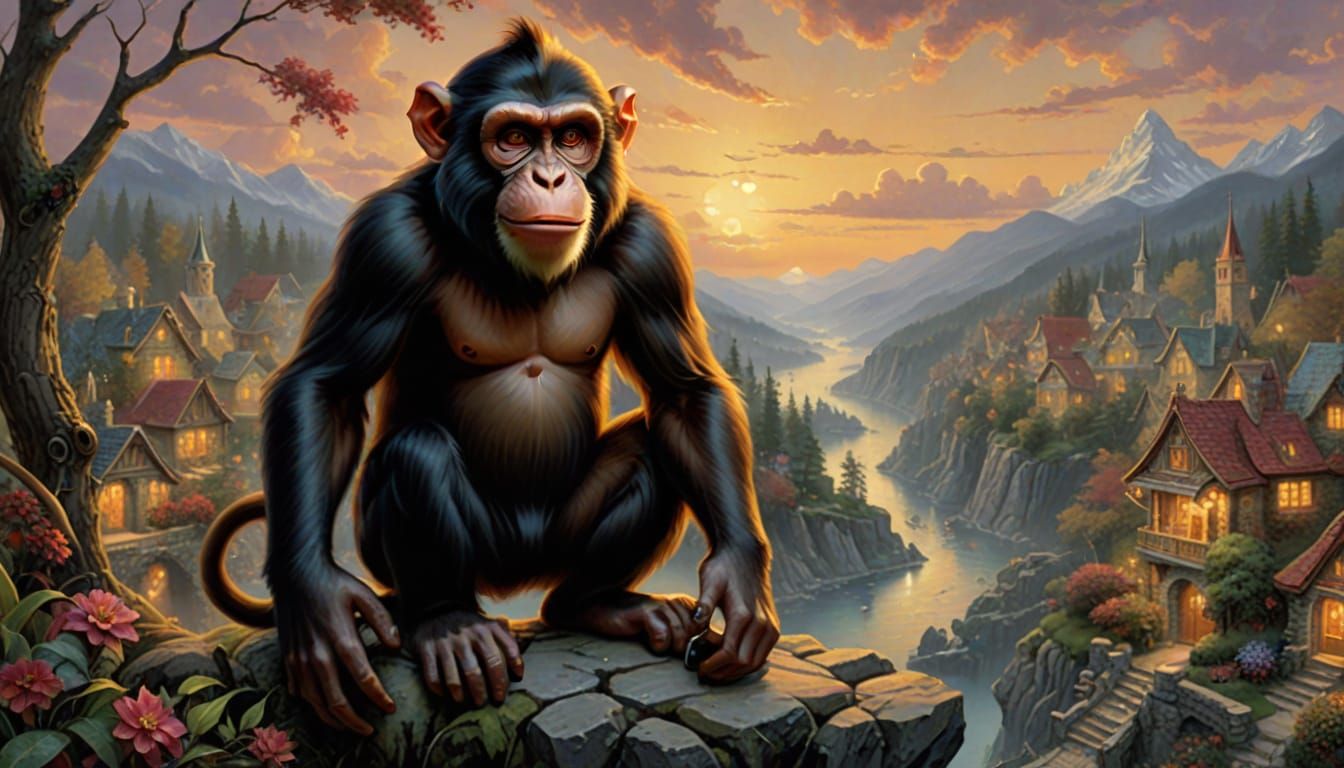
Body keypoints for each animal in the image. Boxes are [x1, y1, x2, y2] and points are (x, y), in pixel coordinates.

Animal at [201, 20, 779, 735]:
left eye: (573, 137)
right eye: (513, 138)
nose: (551, 176)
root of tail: (512, 585)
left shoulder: (652, 247)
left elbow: (684, 392)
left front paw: (740, 582)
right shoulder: (384, 239)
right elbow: (325, 386)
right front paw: (315, 601)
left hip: (556, 545)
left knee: (649, 452)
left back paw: (598, 604)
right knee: (415, 454)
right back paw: (448, 623)